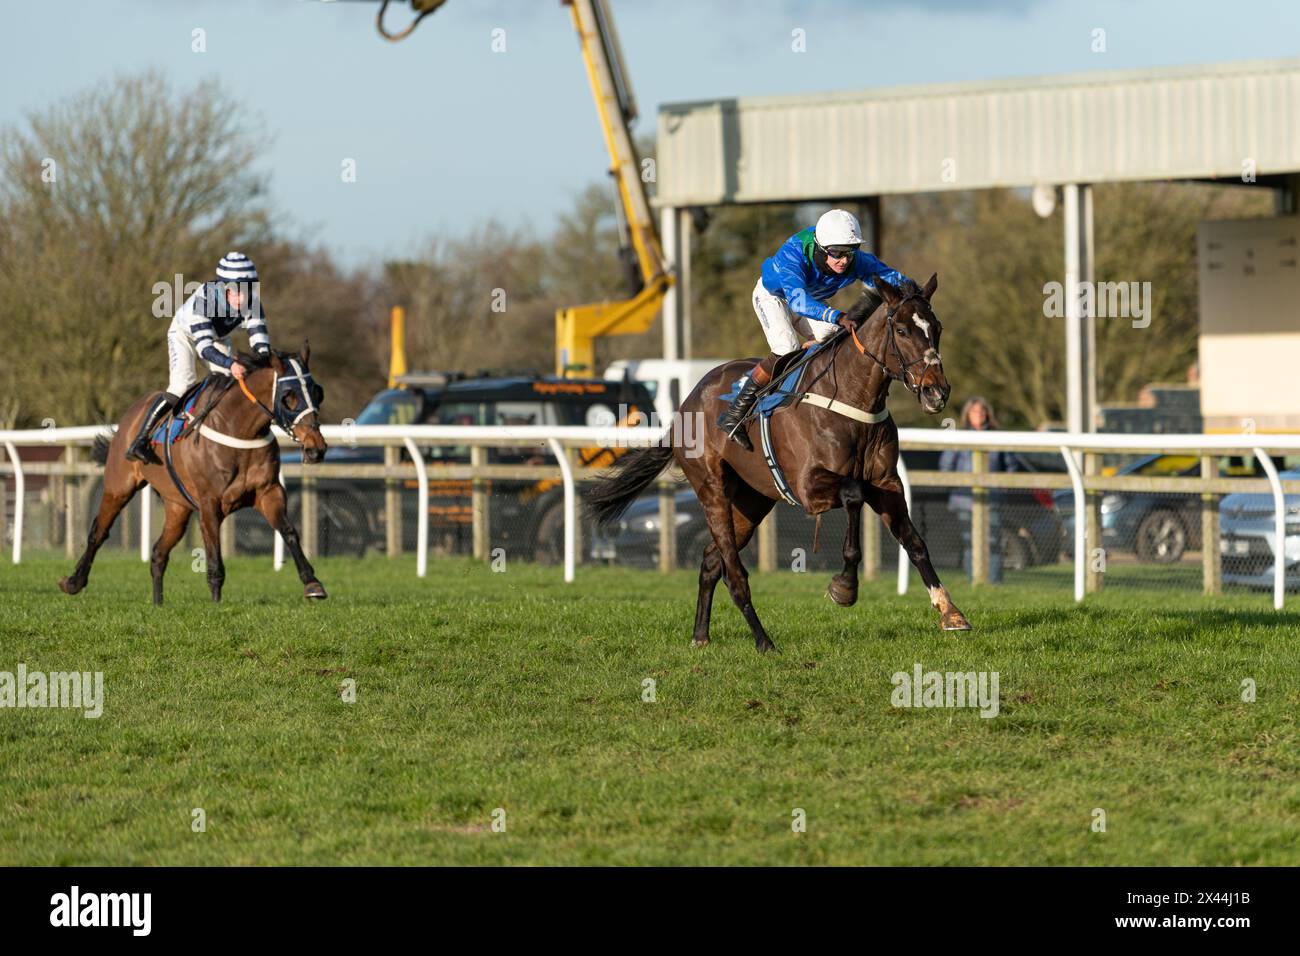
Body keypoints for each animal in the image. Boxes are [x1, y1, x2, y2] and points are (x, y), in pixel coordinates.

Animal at [61, 345, 330, 606]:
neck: (240, 429)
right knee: (99, 532)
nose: (316, 448)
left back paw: (158, 603)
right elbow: (214, 558)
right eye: (288, 397)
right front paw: (216, 605)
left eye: (318, 393)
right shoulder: (209, 502)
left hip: (177, 507)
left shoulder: (268, 491)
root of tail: (132, 412)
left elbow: (289, 531)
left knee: (158, 552)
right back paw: (73, 581)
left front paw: (313, 584)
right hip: (119, 486)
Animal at [585, 273, 972, 655]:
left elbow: (914, 541)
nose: (937, 392)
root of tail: (685, 406)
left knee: (711, 560)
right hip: (712, 489)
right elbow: (853, 494)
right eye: (903, 330)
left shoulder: (887, 483)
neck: (851, 398)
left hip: (752, 500)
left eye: (936, 327)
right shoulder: (809, 487)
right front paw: (845, 586)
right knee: (733, 572)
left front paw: (950, 611)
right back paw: (764, 641)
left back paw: (701, 635)